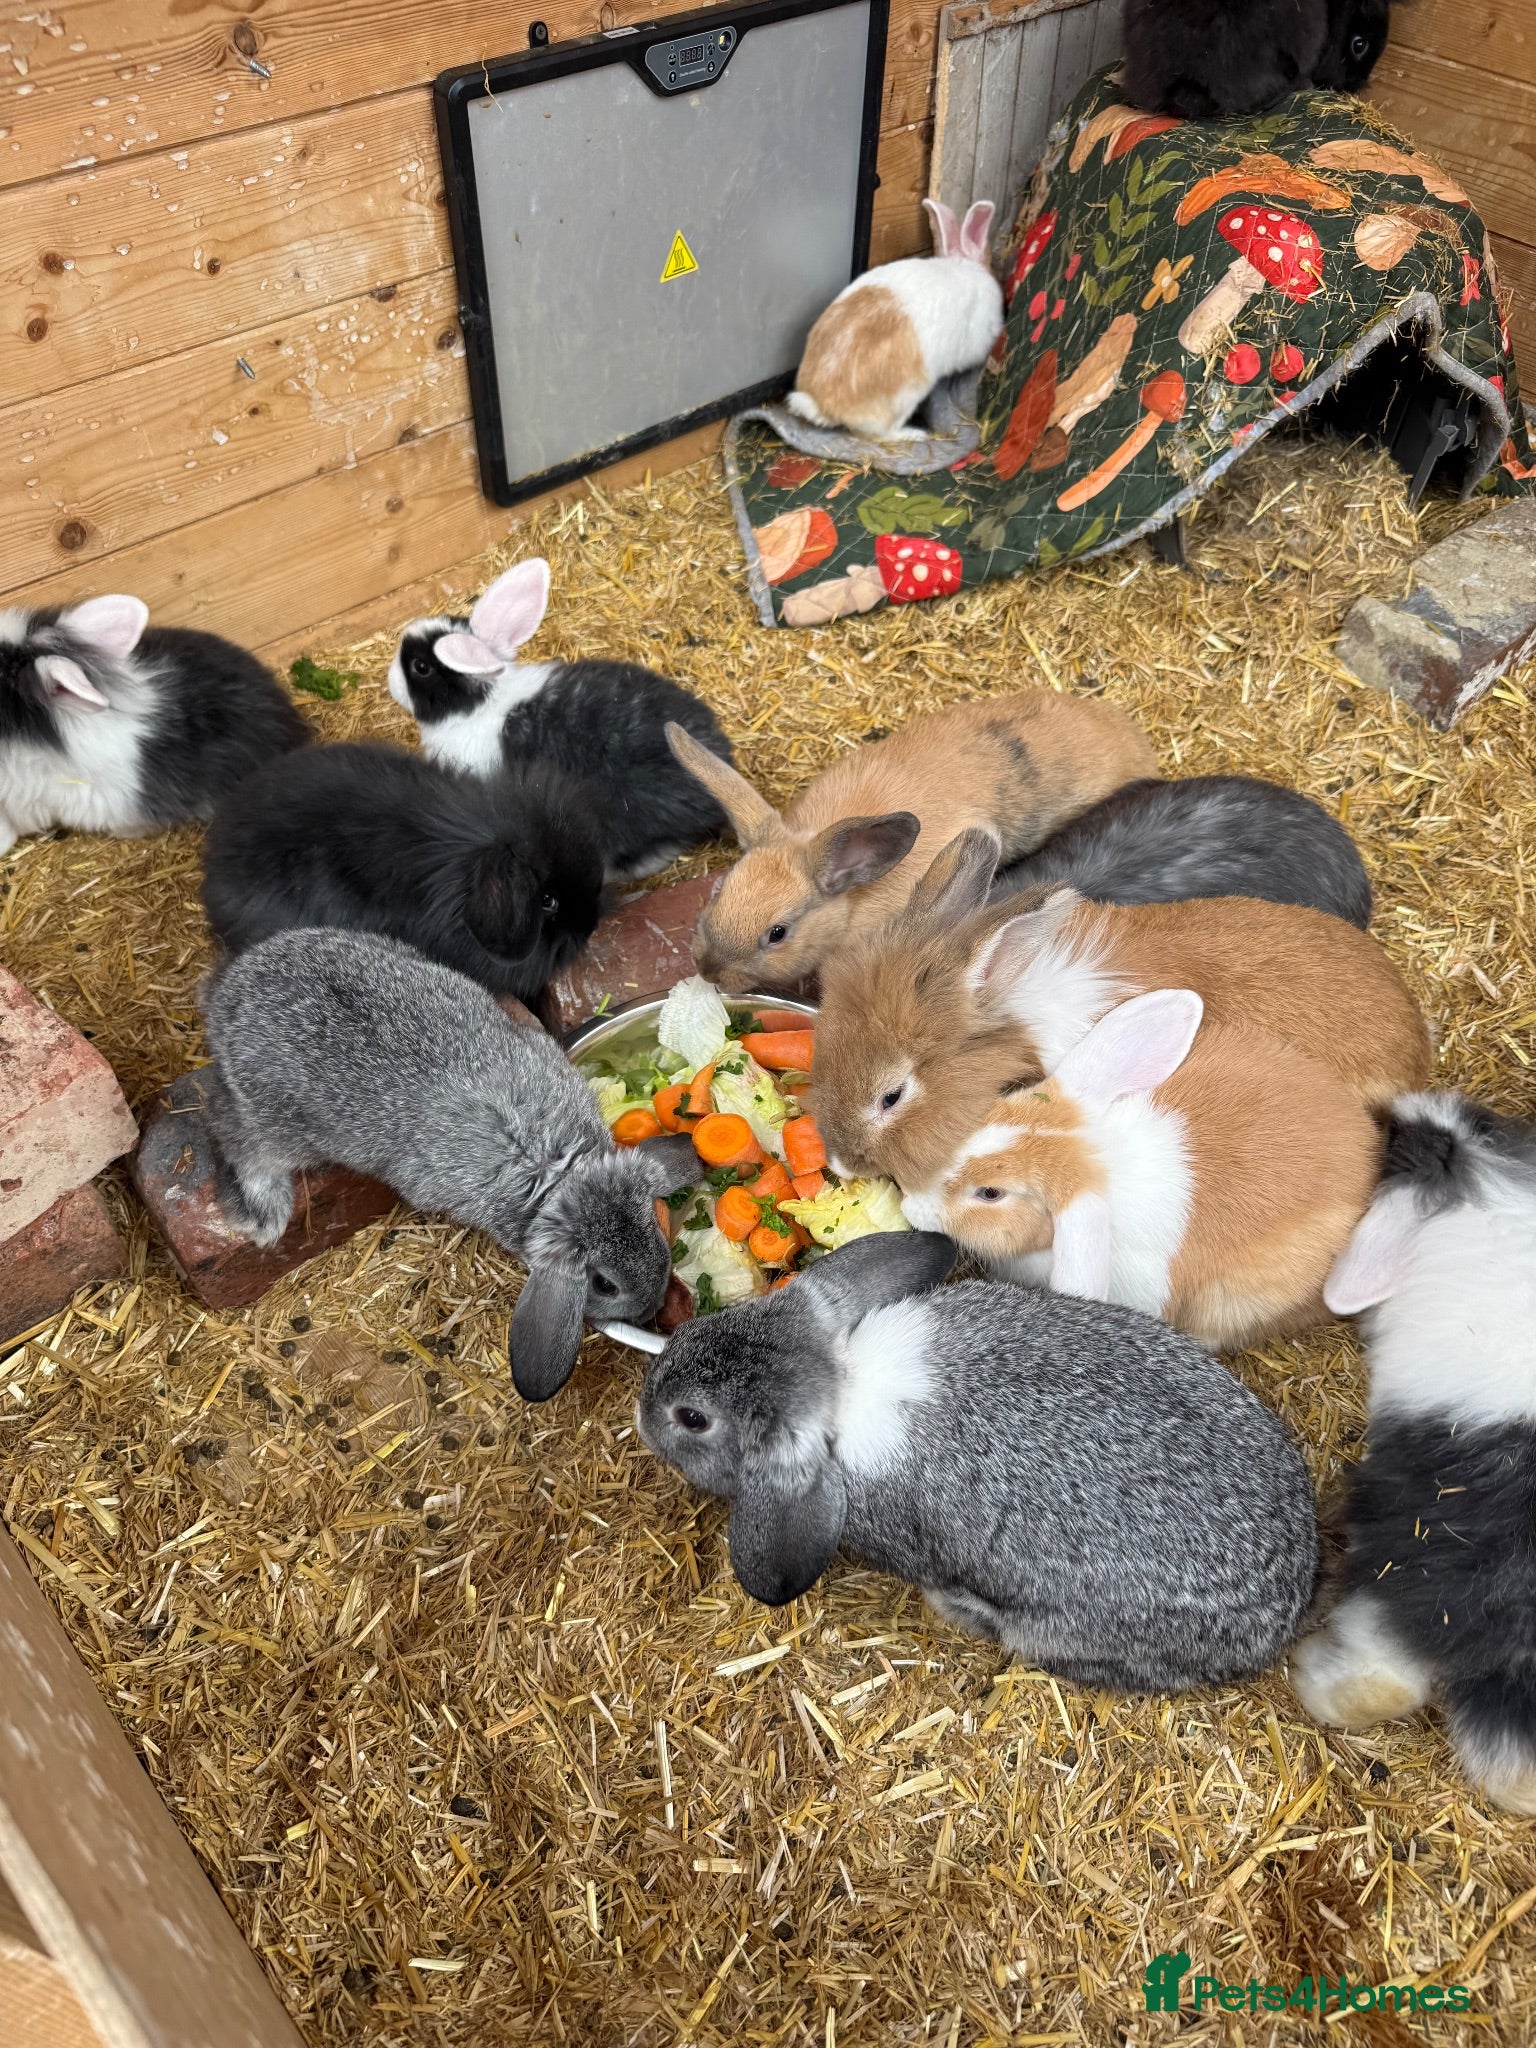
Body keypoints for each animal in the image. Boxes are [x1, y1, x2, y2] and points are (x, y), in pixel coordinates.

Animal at [200, 928, 702, 1400]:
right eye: (603, 1284)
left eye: (655, 1226)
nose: (652, 1309)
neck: (553, 1173)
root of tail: (229, 992)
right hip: (278, 1122)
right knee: (234, 1134)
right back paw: (262, 1215)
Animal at [637, 1231, 1319, 1688]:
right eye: (704, 1327)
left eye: (692, 1419)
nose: (644, 1413)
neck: (842, 1385)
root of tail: (1285, 1613)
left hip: (1059, 1629)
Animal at [1291, 1092, 1536, 1813]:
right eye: (1486, 1119)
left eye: (1397, 1148)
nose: (1395, 1106)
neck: (1485, 1191)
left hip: (1395, 1584)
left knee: (1381, 1685)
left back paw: (1308, 1670)